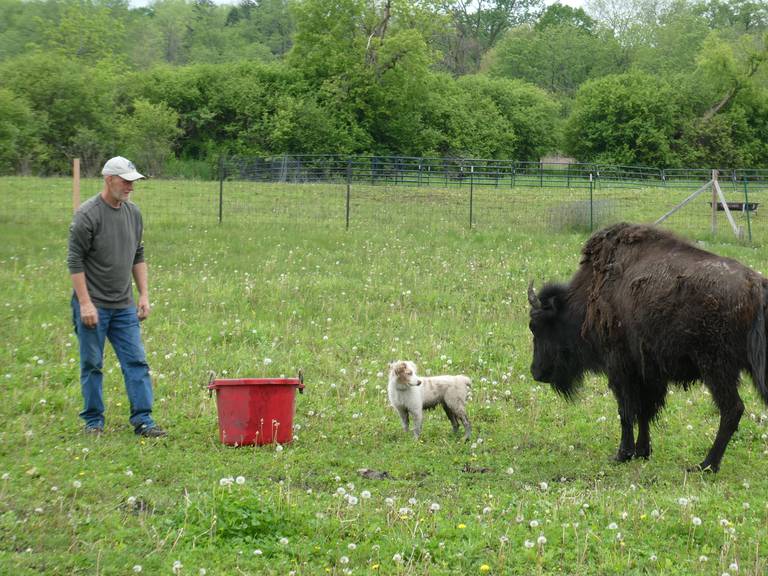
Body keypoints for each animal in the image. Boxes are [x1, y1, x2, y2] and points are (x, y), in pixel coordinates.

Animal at [528, 223, 768, 470]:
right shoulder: (648, 372)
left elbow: (626, 411)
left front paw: (622, 454)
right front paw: (642, 451)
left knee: (732, 409)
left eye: (535, 326)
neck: (591, 293)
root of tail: (756, 287)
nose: (536, 372)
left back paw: (705, 465)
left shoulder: (620, 367)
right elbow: (645, 412)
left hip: (715, 368)